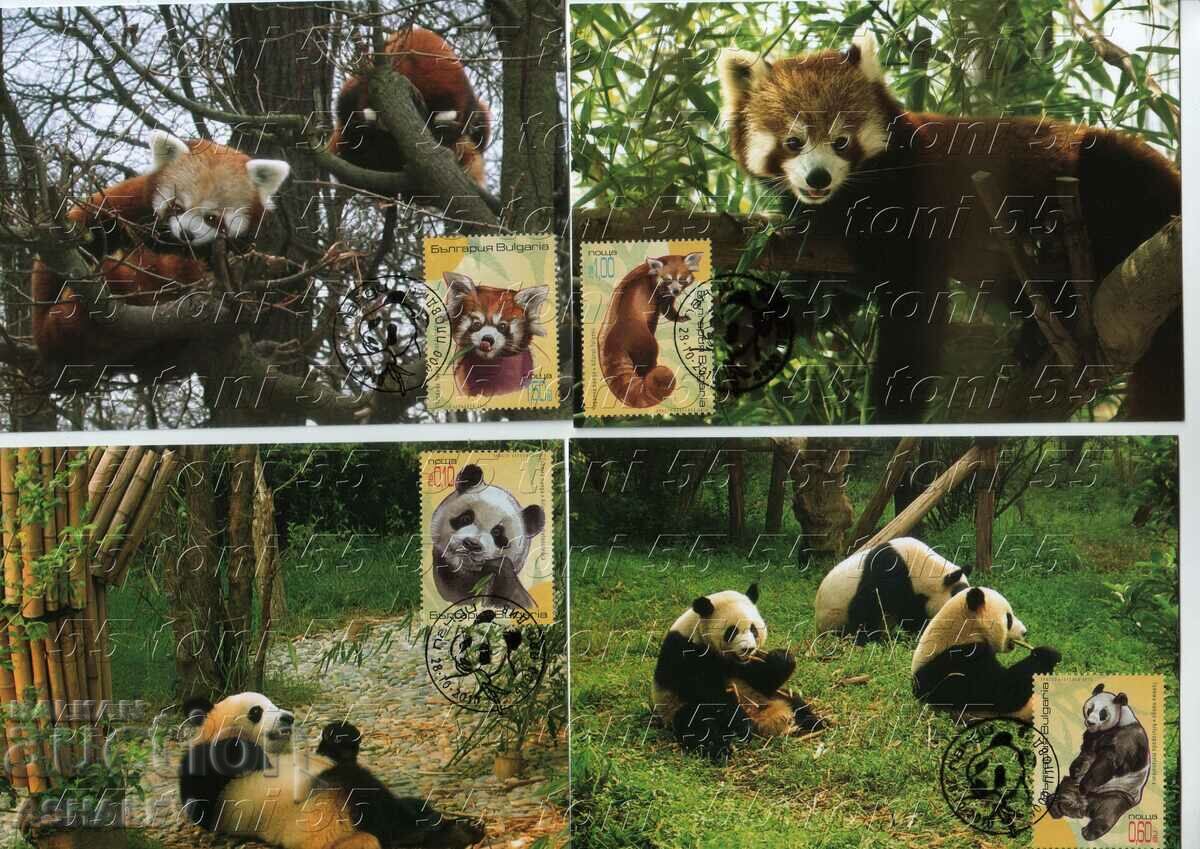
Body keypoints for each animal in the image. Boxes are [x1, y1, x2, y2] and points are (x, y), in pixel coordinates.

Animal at [178, 692, 485, 849]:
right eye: (256, 711)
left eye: (275, 704)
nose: (287, 717)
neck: (275, 752)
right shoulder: (223, 795)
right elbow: (200, 800)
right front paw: (239, 749)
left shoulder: (320, 758)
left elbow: (335, 751)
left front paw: (340, 731)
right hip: (324, 814)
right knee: (371, 800)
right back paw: (445, 832)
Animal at [651, 583, 826, 761]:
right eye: (732, 631)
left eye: (753, 629)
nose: (748, 648)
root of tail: (762, 718)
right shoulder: (684, 651)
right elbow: (708, 692)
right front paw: (741, 724)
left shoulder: (746, 664)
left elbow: (764, 680)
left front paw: (781, 658)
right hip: (675, 706)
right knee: (697, 724)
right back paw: (722, 749)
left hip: (770, 697)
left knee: (795, 701)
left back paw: (815, 723)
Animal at [1048, 683, 1152, 840]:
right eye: (1090, 708)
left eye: (1103, 713)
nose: (1090, 722)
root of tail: (1085, 805)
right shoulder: (1093, 736)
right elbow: (1086, 754)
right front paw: (1075, 770)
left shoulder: (1126, 739)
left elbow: (1107, 763)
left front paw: (1085, 784)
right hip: (1073, 787)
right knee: (1065, 787)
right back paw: (1057, 806)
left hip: (1116, 793)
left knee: (1107, 810)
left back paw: (1088, 831)